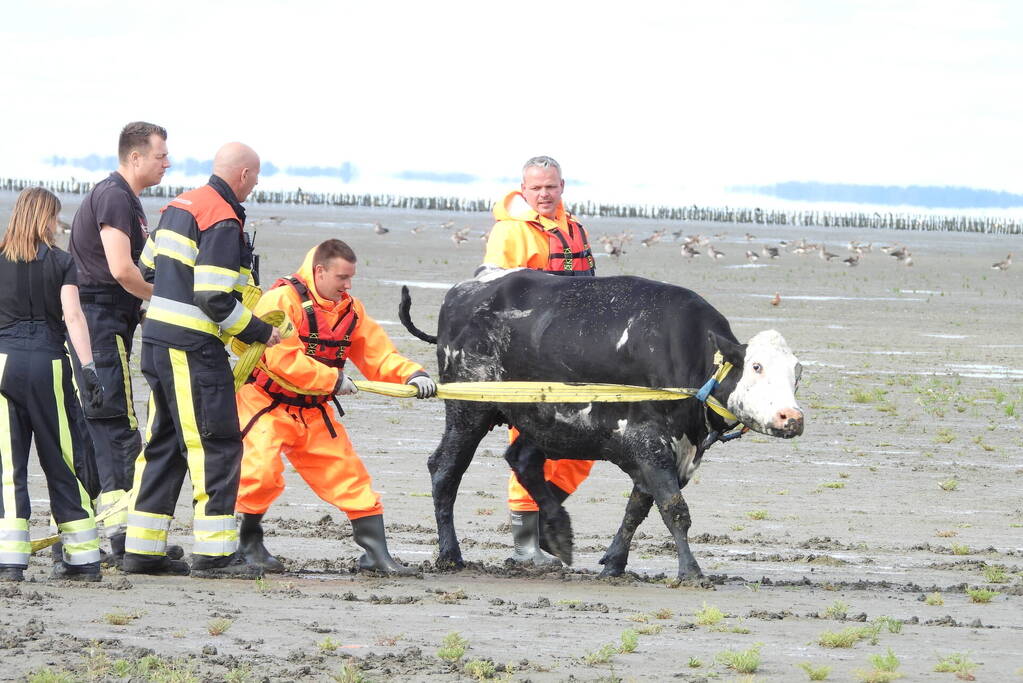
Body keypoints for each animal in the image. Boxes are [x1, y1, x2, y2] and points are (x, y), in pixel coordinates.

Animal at [401, 269, 806, 580]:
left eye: (797, 373)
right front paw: (691, 571)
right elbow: (674, 509)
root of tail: (464, 291)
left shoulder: (664, 453)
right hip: (469, 411)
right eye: (756, 367)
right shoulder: (650, 443)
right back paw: (450, 554)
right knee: (445, 470)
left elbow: (637, 510)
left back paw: (557, 531)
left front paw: (615, 563)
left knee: (522, 460)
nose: (792, 417)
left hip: (541, 418)